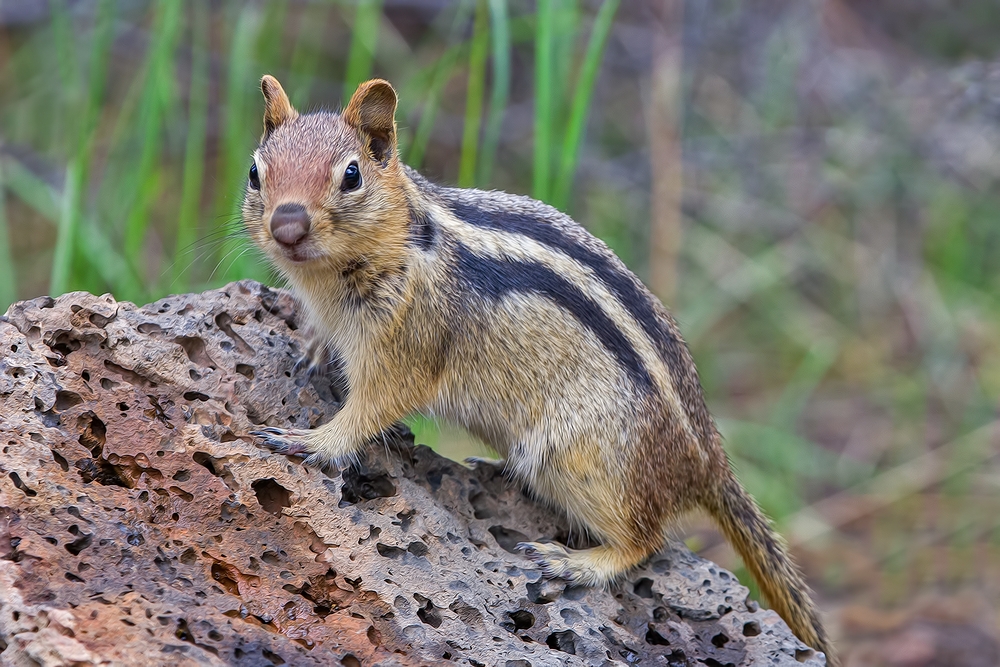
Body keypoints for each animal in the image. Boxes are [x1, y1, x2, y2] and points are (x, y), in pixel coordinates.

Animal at [248, 77, 836, 664]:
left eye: (351, 175)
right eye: (256, 171)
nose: (287, 224)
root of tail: (710, 462)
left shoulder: (408, 347)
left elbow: (372, 408)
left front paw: (312, 440)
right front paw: (310, 346)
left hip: (584, 462)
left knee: (647, 541)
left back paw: (575, 563)